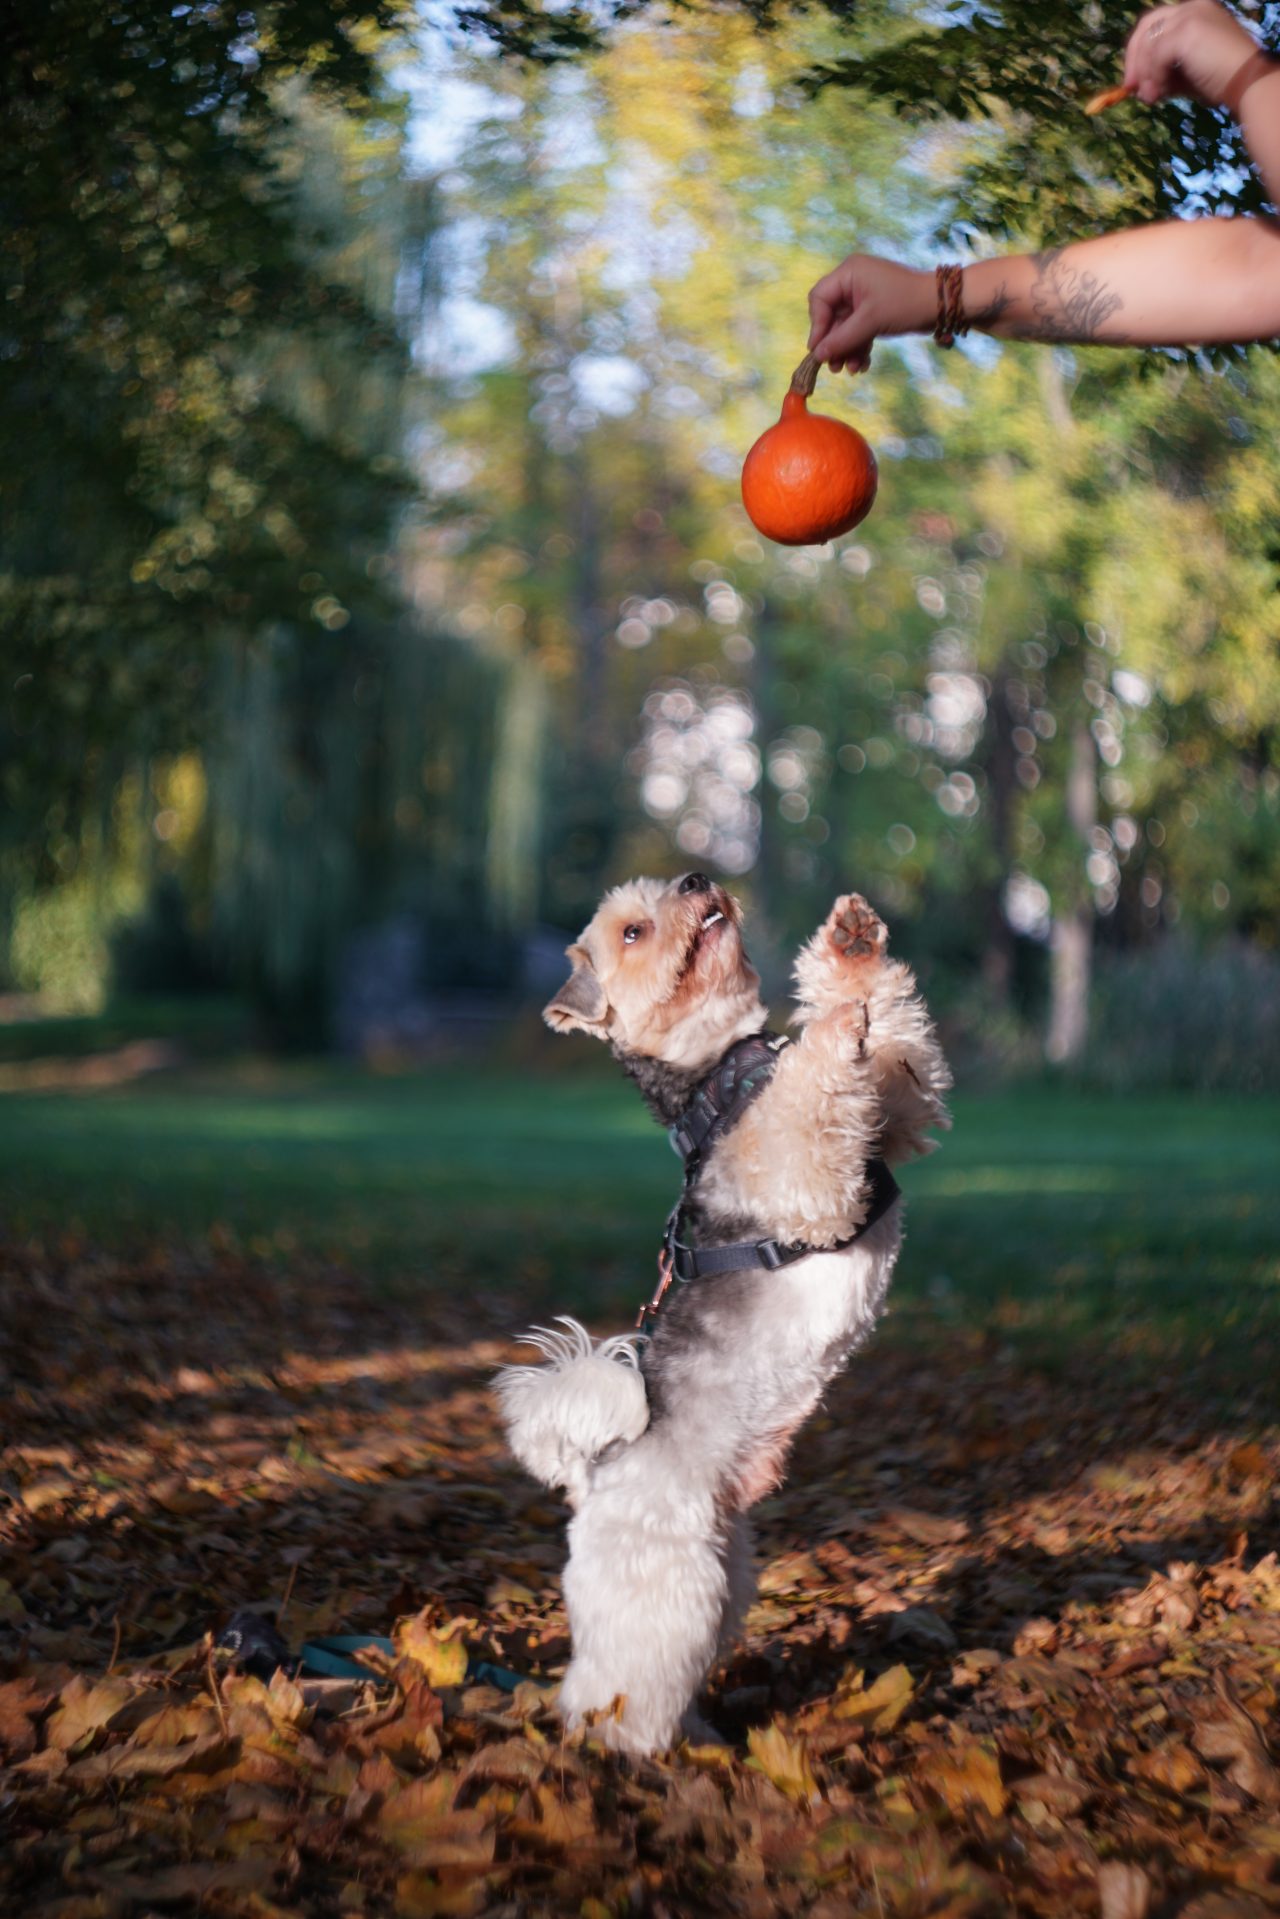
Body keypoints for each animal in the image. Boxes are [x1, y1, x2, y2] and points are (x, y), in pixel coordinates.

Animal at [495, 871, 951, 1757]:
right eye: (632, 931)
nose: (698, 878)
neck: (718, 1072)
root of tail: (590, 1476)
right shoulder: (812, 1177)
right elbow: (809, 1080)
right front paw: (828, 1024)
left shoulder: (894, 1116)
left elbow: (892, 1031)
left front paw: (850, 949)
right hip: (669, 1590)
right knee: (608, 1693)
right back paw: (635, 1753)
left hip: (727, 1574)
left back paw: (701, 1731)